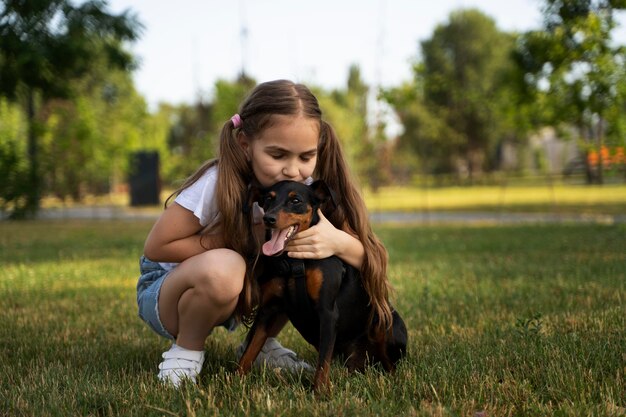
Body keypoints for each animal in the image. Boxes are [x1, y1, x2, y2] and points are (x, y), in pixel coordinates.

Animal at [236, 179, 408, 390]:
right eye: (268, 198)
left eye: (295, 200)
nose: (269, 218)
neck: (294, 261)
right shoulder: (267, 311)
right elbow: (250, 350)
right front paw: (235, 380)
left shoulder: (327, 311)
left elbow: (323, 363)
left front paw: (319, 392)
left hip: (387, 325)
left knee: (392, 365)